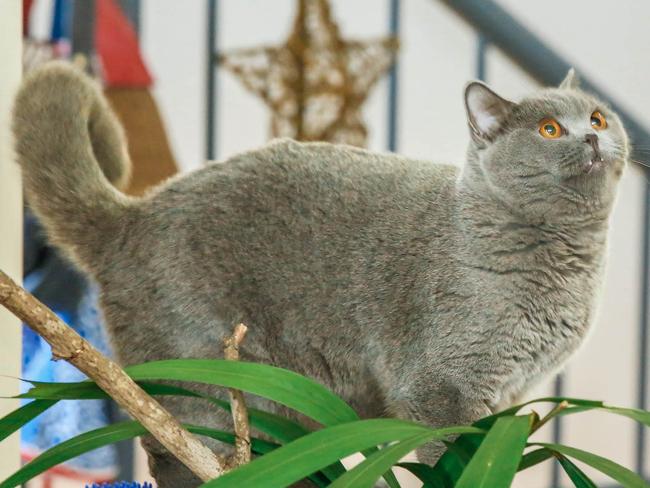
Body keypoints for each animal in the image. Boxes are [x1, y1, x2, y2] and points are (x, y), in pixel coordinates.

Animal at [11, 63, 628, 486]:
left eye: (597, 117)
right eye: (550, 130)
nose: (592, 136)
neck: (566, 262)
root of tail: (132, 216)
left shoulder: (509, 393)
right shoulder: (439, 386)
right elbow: (448, 455)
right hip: (199, 371)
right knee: (176, 451)